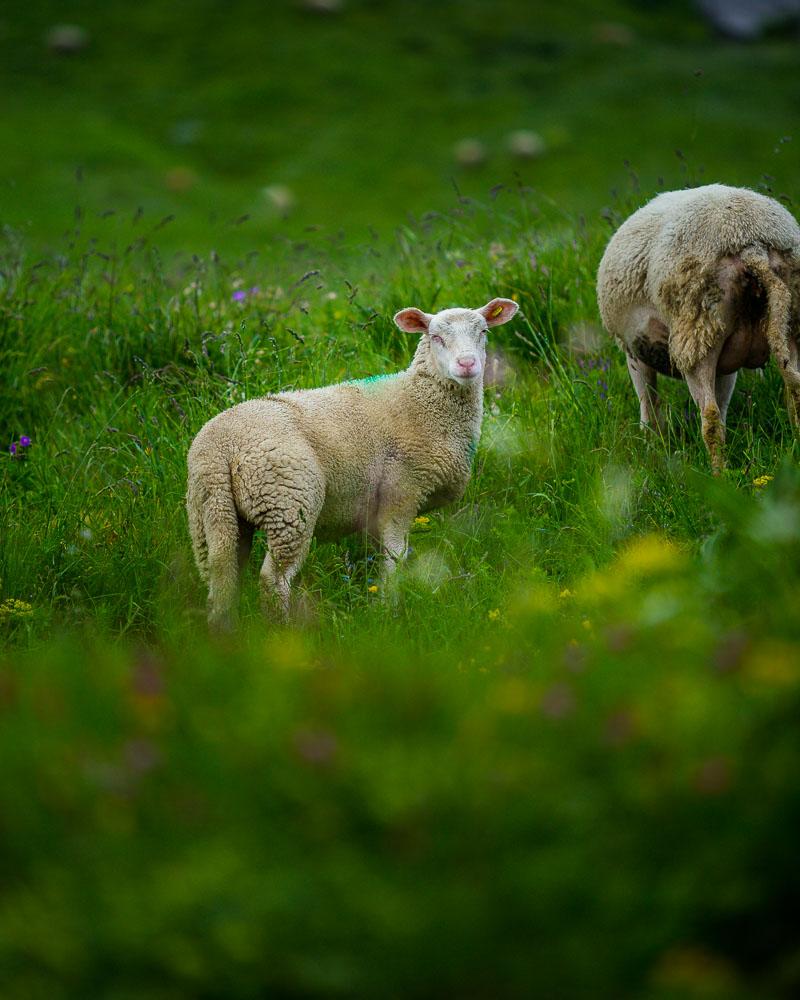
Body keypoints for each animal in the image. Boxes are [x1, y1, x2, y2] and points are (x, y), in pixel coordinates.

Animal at [186, 292, 520, 628]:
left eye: (483, 332)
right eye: (436, 337)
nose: (467, 364)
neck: (421, 401)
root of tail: (220, 446)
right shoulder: (401, 491)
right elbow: (395, 557)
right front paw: (388, 609)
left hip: (210, 512)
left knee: (221, 575)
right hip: (289, 502)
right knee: (274, 578)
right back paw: (281, 629)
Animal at [592, 184, 800, 472]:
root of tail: (751, 241)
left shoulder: (632, 351)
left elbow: (649, 406)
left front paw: (650, 447)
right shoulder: (727, 364)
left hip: (696, 333)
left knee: (709, 416)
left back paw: (718, 474)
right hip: (789, 320)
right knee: (794, 393)